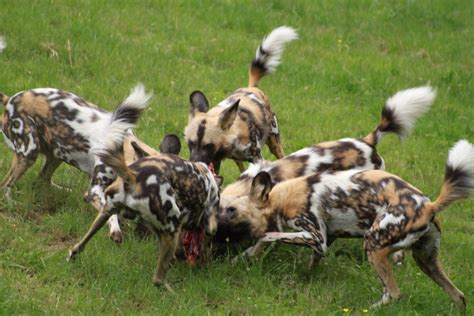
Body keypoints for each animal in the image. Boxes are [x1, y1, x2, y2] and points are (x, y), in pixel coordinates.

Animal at [0, 82, 151, 238]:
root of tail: (10, 99)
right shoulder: (95, 192)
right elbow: (110, 212)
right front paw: (116, 228)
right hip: (29, 153)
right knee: (5, 185)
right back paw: (12, 204)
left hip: (56, 155)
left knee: (42, 179)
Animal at [67, 98, 223, 288]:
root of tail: (133, 176)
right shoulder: (207, 225)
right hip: (172, 231)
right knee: (157, 279)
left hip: (107, 212)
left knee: (81, 244)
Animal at [184, 25, 298, 173]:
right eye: (191, 144)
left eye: (208, 146)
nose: (194, 162)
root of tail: (252, 87)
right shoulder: (215, 160)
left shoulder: (256, 158)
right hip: (238, 159)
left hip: (274, 142)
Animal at [220, 139, 472, 312]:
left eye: (231, 211)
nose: (217, 227)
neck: (282, 197)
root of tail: (429, 205)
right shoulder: (326, 239)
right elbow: (311, 260)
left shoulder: (316, 237)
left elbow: (268, 235)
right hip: (426, 260)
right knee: (459, 296)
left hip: (374, 246)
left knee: (393, 293)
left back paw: (368, 310)